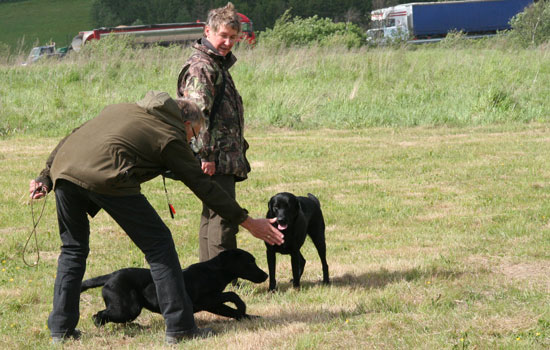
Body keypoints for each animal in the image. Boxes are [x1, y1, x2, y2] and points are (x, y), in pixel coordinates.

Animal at [82, 249, 270, 326]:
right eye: (250, 262)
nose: (266, 275)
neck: (214, 271)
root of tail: (110, 276)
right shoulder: (205, 299)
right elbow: (231, 295)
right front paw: (242, 306)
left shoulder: (213, 304)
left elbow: (232, 312)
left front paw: (251, 317)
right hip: (129, 307)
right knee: (98, 315)